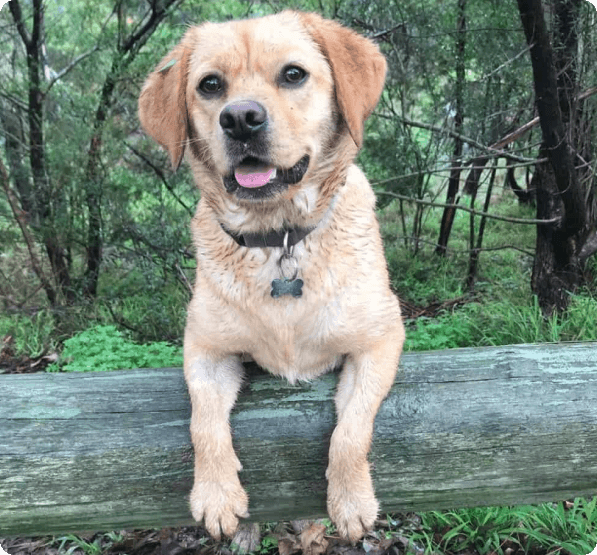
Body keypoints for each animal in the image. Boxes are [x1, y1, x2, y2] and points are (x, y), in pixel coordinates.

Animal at [137, 9, 402, 544]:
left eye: (293, 74)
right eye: (210, 84)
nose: (240, 118)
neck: (278, 237)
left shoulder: (381, 339)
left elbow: (351, 429)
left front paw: (351, 501)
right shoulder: (205, 348)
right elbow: (203, 421)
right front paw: (217, 494)